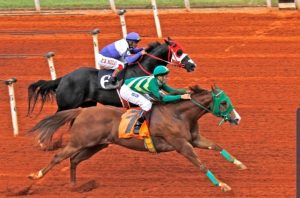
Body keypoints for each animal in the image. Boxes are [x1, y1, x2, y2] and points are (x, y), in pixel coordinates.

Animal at [27, 37, 197, 115]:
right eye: (179, 52)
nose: (193, 65)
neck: (143, 70)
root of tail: (63, 78)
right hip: (66, 105)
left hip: (87, 104)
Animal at [28, 85, 246, 192]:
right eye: (224, 103)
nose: (237, 118)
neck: (179, 114)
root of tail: (81, 111)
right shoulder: (181, 145)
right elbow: (201, 164)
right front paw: (222, 185)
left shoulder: (194, 139)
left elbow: (216, 146)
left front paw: (240, 164)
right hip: (78, 142)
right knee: (58, 157)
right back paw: (35, 176)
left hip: (96, 145)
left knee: (74, 160)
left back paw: (75, 186)